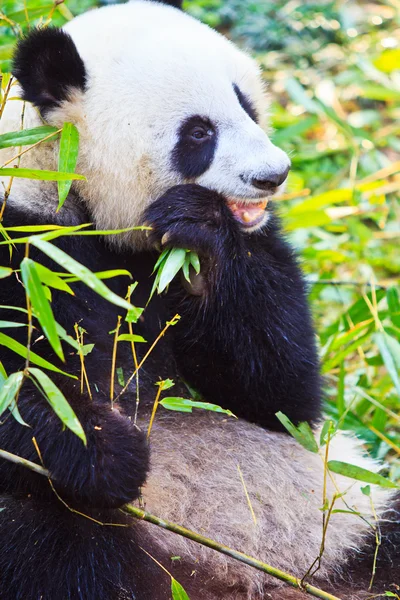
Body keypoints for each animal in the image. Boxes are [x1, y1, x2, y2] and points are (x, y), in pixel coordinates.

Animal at [0, 1, 398, 600]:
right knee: (50, 541)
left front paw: (200, 227)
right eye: (198, 133)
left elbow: (281, 397)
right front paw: (104, 450)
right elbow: (23, 389)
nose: (273, 175)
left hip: (352, 515)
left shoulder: (249, 251)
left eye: (246, 103)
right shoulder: (24, 242)